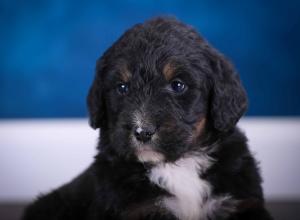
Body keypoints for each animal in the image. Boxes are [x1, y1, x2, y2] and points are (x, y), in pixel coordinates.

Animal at [22, 17, 274, 220]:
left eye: (178, 85)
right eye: (122, 87)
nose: (142, 131)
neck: (178, 165)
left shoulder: (241, 203)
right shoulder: (141, 209)